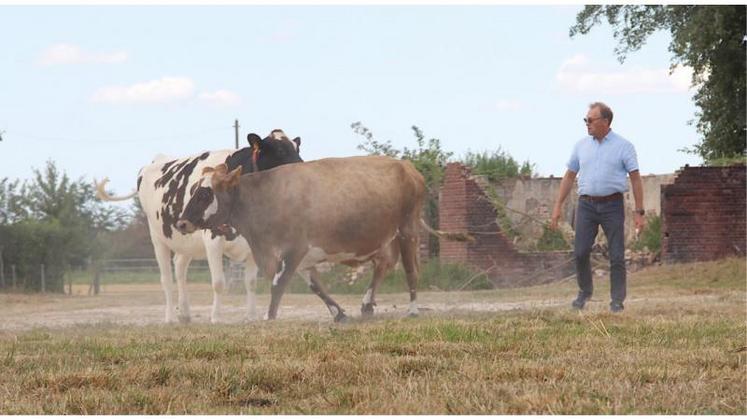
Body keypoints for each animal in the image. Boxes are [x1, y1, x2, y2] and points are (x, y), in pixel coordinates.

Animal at [95, 130, 300, 324]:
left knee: (179, 266)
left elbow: (250, 283)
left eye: (297, 148)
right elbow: (218, 282)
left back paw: (184, 314)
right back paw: (170, 317)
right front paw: (216, 317)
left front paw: (251, 316)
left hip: (186, 240)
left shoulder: (253, 243)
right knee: (166, 279)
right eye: (280, 150)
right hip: (157, 237)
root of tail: (156, 160)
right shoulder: (213, 239)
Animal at [175, 155, 468, 322]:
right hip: (385, 238)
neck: (265, 197)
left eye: (204, 193)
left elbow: (278, 285)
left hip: (408, 230)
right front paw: (338, 313)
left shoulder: (293, 249)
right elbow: (315, 286)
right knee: (383, 265)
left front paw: (269, 317)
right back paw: (367, 304)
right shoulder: (301, 256)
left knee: (410, 271)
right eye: (193, 190)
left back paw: (413, 310)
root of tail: (407, 167)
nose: (181, 222)